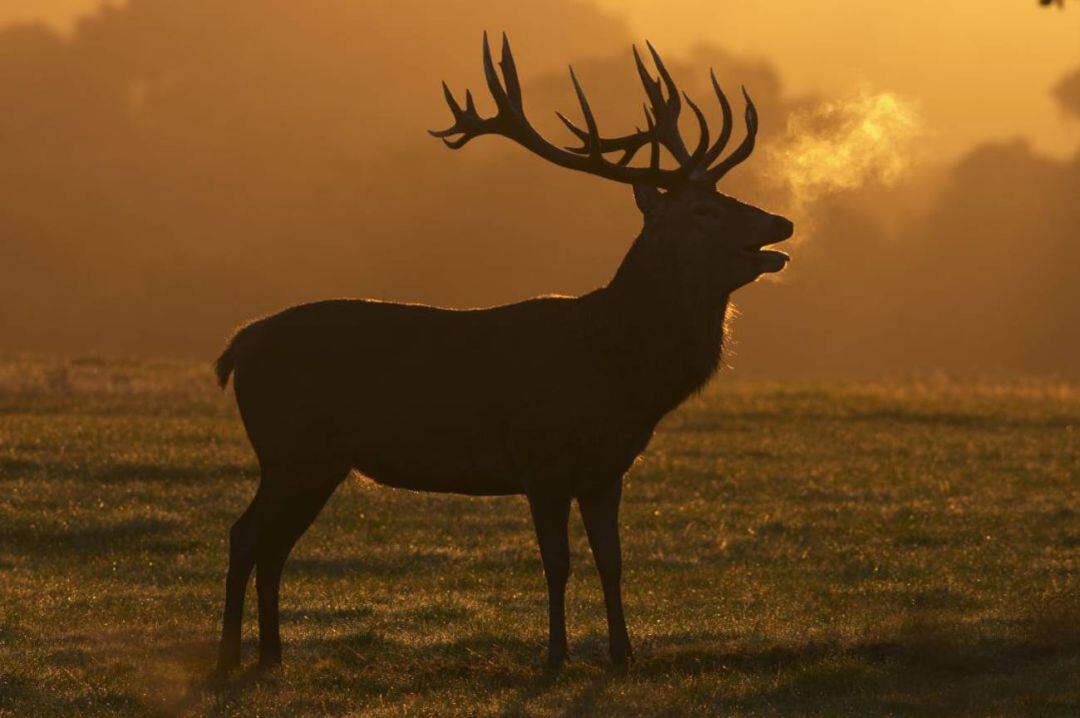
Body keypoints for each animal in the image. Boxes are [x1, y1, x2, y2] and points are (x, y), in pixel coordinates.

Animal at [212, 33, 794, 673]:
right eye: (703, 210)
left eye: (726, 196)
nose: (781, 223)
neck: (617, 368)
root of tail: (237, 346)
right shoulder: (541, 458)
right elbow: (557, 564)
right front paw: (556, 657)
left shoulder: (607, 469)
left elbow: (612, 562)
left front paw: (623, 654)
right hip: (290, 450)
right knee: (245, 536)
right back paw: (229, 657)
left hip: (316, 461)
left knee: (273, 546)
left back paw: (271, 655)